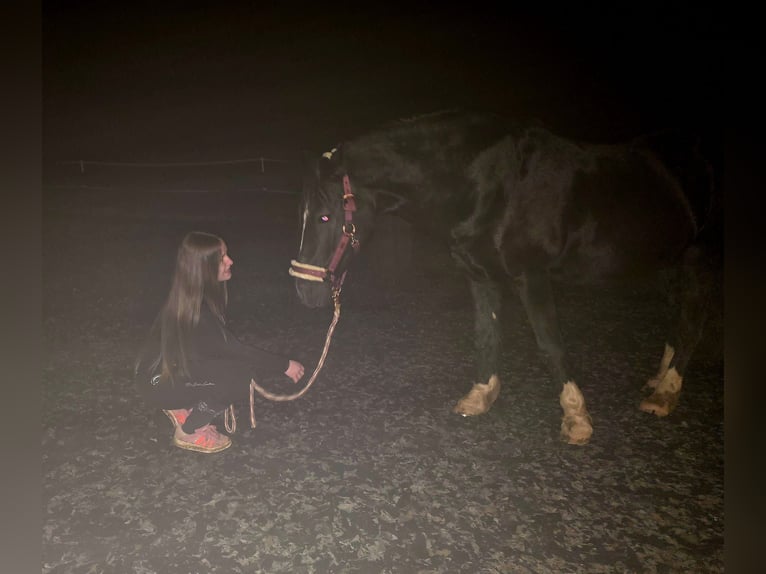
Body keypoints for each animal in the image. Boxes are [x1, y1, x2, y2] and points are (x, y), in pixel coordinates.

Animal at [288, 110, 722, 445]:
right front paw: (481, 395)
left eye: (325, 217)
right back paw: (659, 379)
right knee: (678, 317)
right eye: (306, 216)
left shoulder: (531, 275)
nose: (304, 292)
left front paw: (576, 418)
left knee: (693, 320)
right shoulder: (480, 275)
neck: (486, 185)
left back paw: (665, 394)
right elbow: (487, 333)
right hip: (668, 260)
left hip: (698, 256)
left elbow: (550, 344)